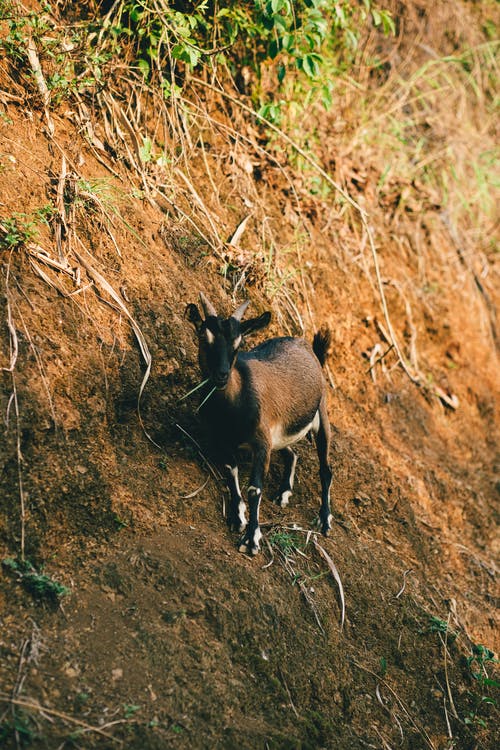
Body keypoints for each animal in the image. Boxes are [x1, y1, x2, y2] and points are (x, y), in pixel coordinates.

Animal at [186, 294, 334, 560]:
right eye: (204, 336)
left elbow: (255, 488)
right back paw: (284, 493)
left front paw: (251, 540)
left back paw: (325, 520)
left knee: (326, 469)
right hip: (280, 433)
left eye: (238, 343)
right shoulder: (224, 439)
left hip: (321, 416)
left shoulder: (262, 443)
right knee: (292, 453)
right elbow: (230, 471)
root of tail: (306, 345)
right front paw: (238, 516)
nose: (221, 375)